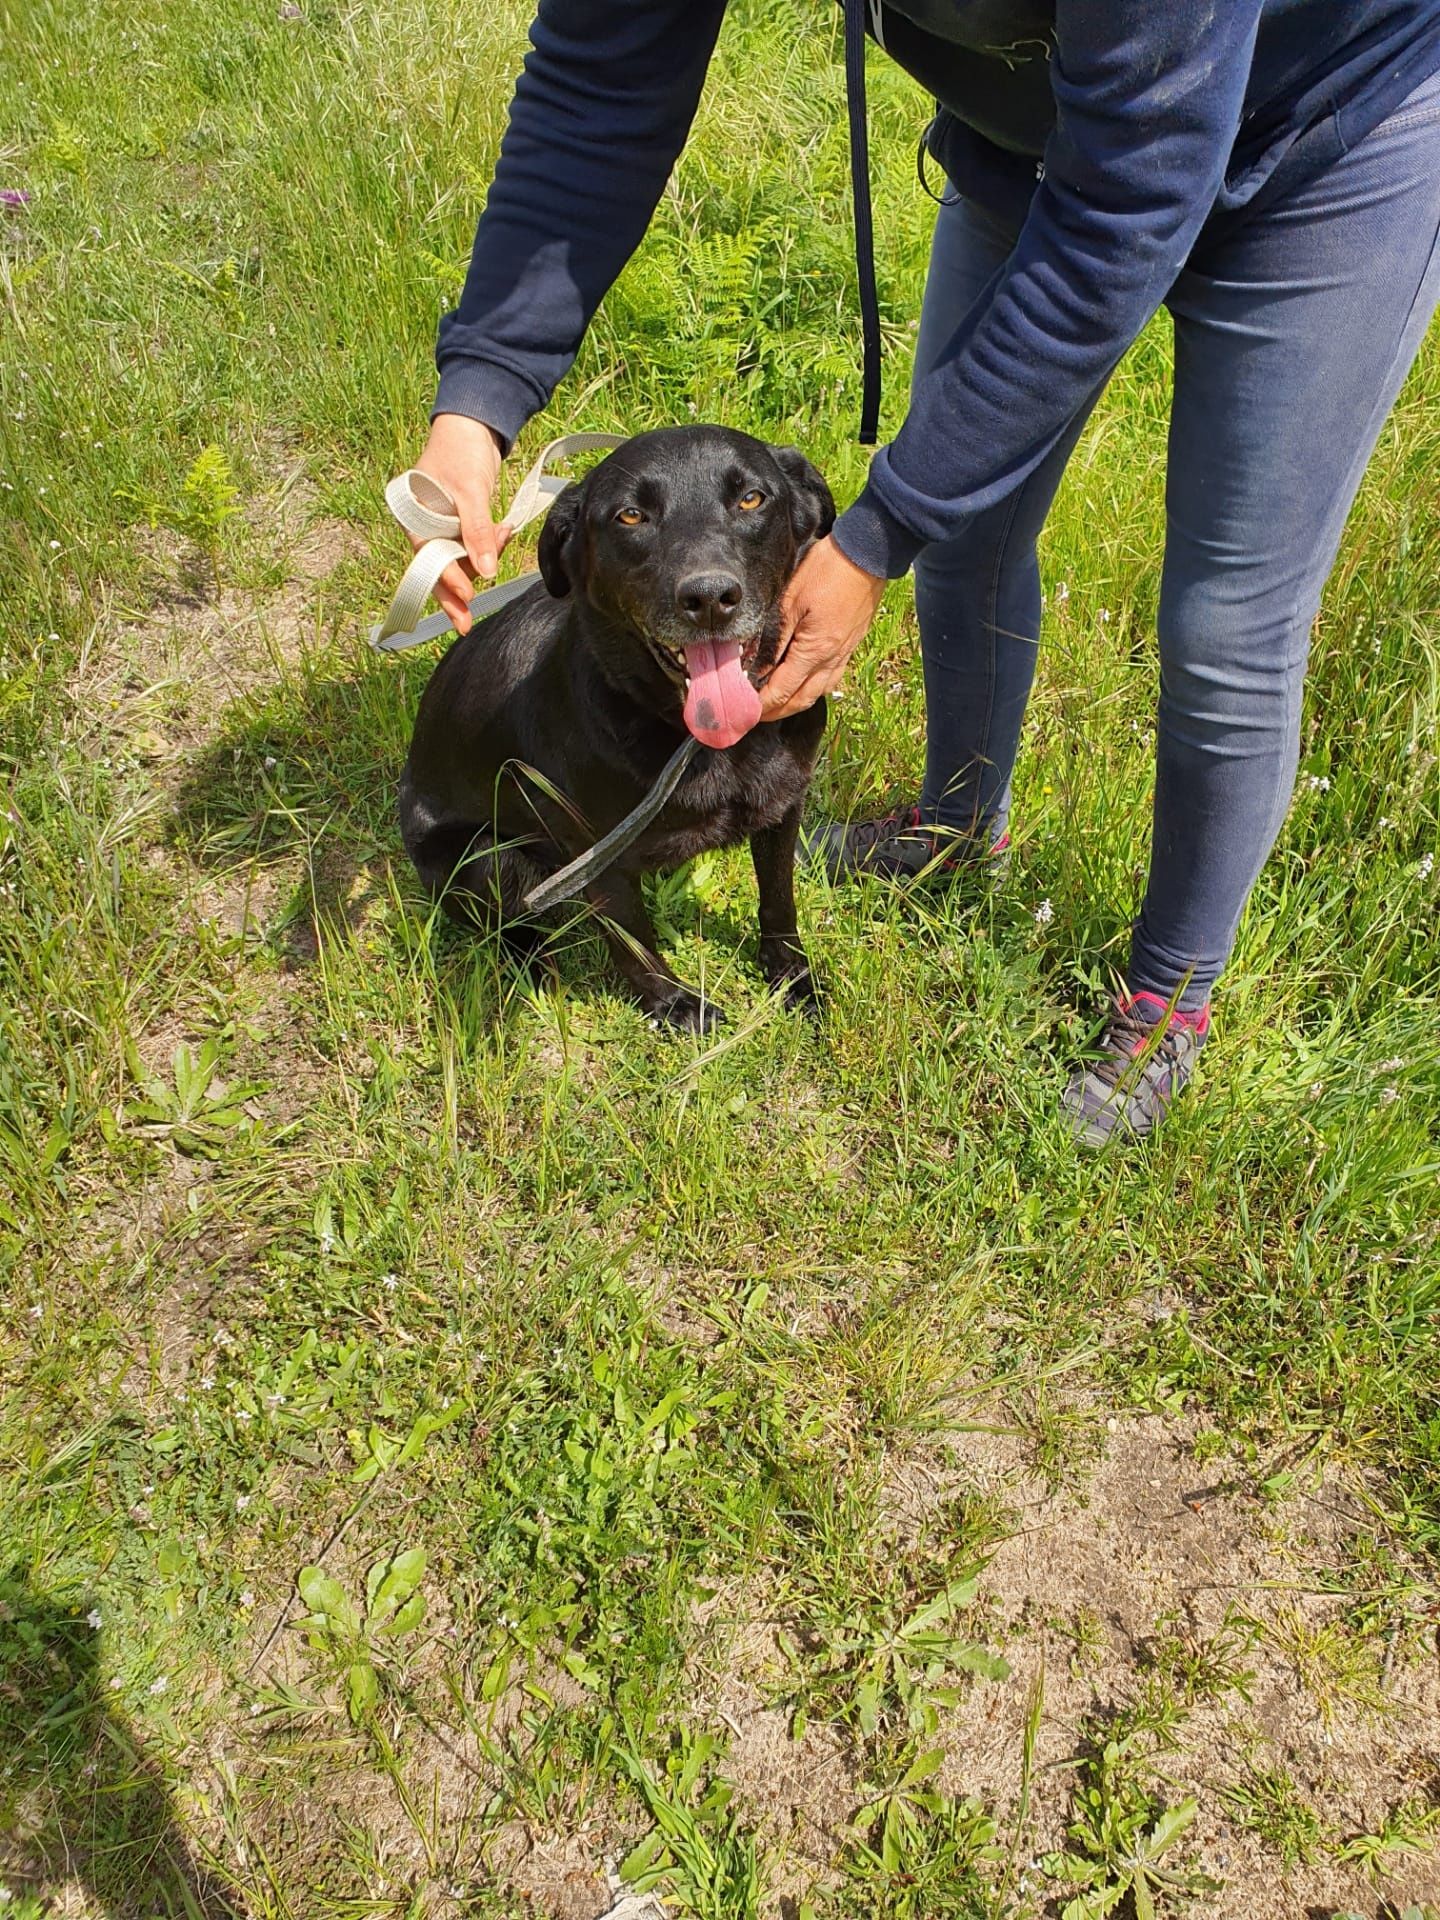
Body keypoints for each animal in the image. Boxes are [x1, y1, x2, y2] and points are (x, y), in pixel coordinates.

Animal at [401, 426, 840, 1029]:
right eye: (631, 515)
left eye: (752, 499)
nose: (709, 599)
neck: (701, 743)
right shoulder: (598, 854)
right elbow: (633, 940)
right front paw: (674, 1007)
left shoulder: (782, 804)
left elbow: (778, 901)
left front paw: (791, 978)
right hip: (484, 859)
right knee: (507, 927)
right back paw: (533, 967)